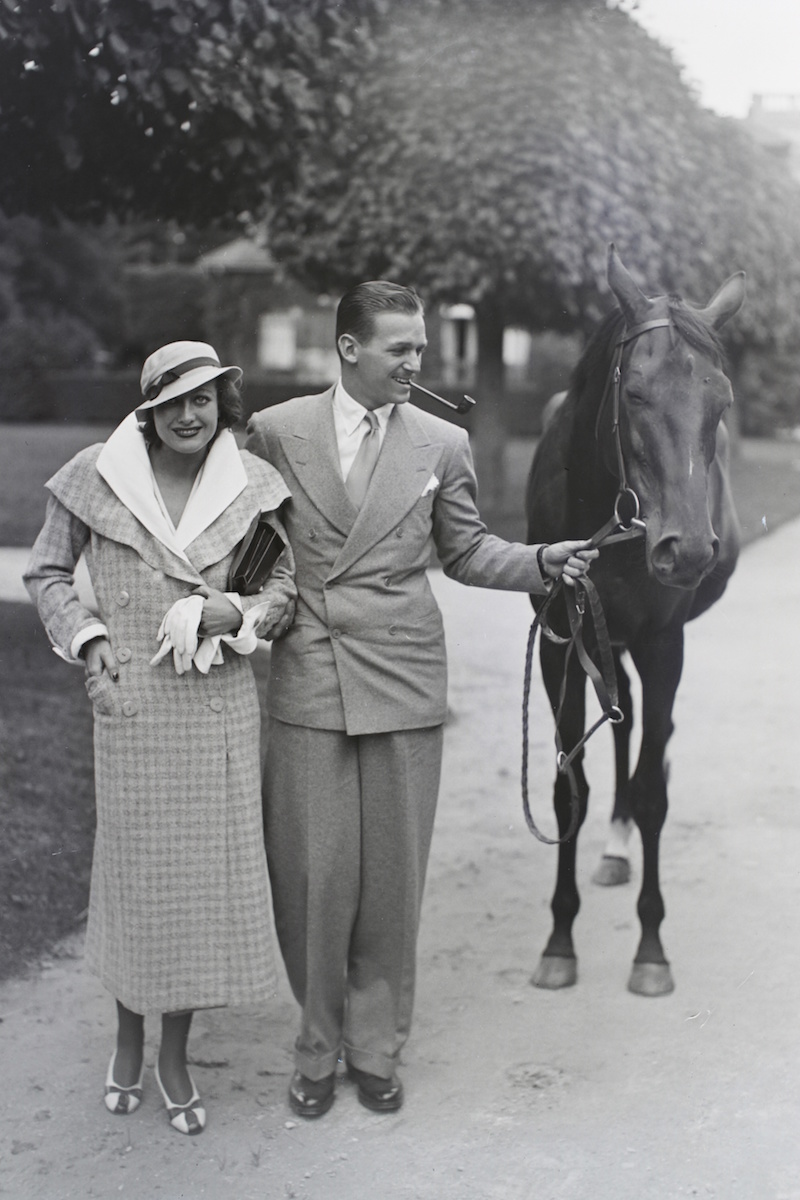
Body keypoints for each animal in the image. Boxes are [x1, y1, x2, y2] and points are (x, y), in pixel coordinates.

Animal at [525, 241, 743, 993]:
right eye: (635, 393)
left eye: (720, 401)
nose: (689, 549)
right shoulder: (559, 642)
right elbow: (568, 789)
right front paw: (559, 940)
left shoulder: (662, 643)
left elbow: (652, 791)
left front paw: (652, 949)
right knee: (619, 729)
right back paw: (614, 847)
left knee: (649, 734)